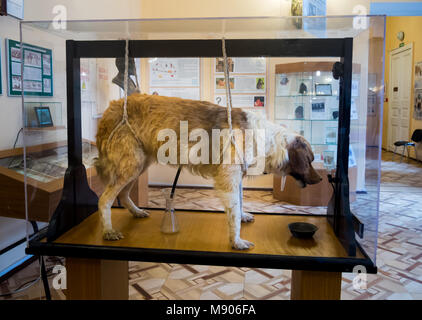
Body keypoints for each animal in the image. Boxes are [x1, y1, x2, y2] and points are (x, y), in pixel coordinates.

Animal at [95, 94, 320, 249]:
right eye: (309, 161)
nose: (319, 180)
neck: (265, 138)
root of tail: (111, 108)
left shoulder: (237, 178)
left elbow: (240, 203)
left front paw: (243, 216)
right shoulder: (228, 180)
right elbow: (233, 214)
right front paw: (236, 241)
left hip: (138, 165)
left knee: (123, 195)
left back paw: (136, 211)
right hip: (131, 165)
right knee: (105, 199)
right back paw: (108, 230)